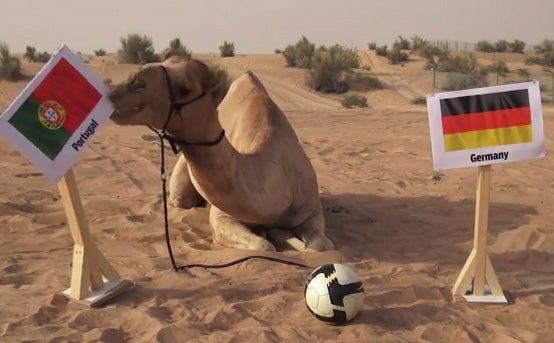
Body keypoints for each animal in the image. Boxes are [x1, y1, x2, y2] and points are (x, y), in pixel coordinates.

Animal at [108, 56, 332, 253]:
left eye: (185, 89)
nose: (127, 84)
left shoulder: (312, 211)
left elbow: (320, 245)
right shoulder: (222, 216)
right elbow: (264, 245)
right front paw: (272, 235)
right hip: (181, 187)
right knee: (180, 200)